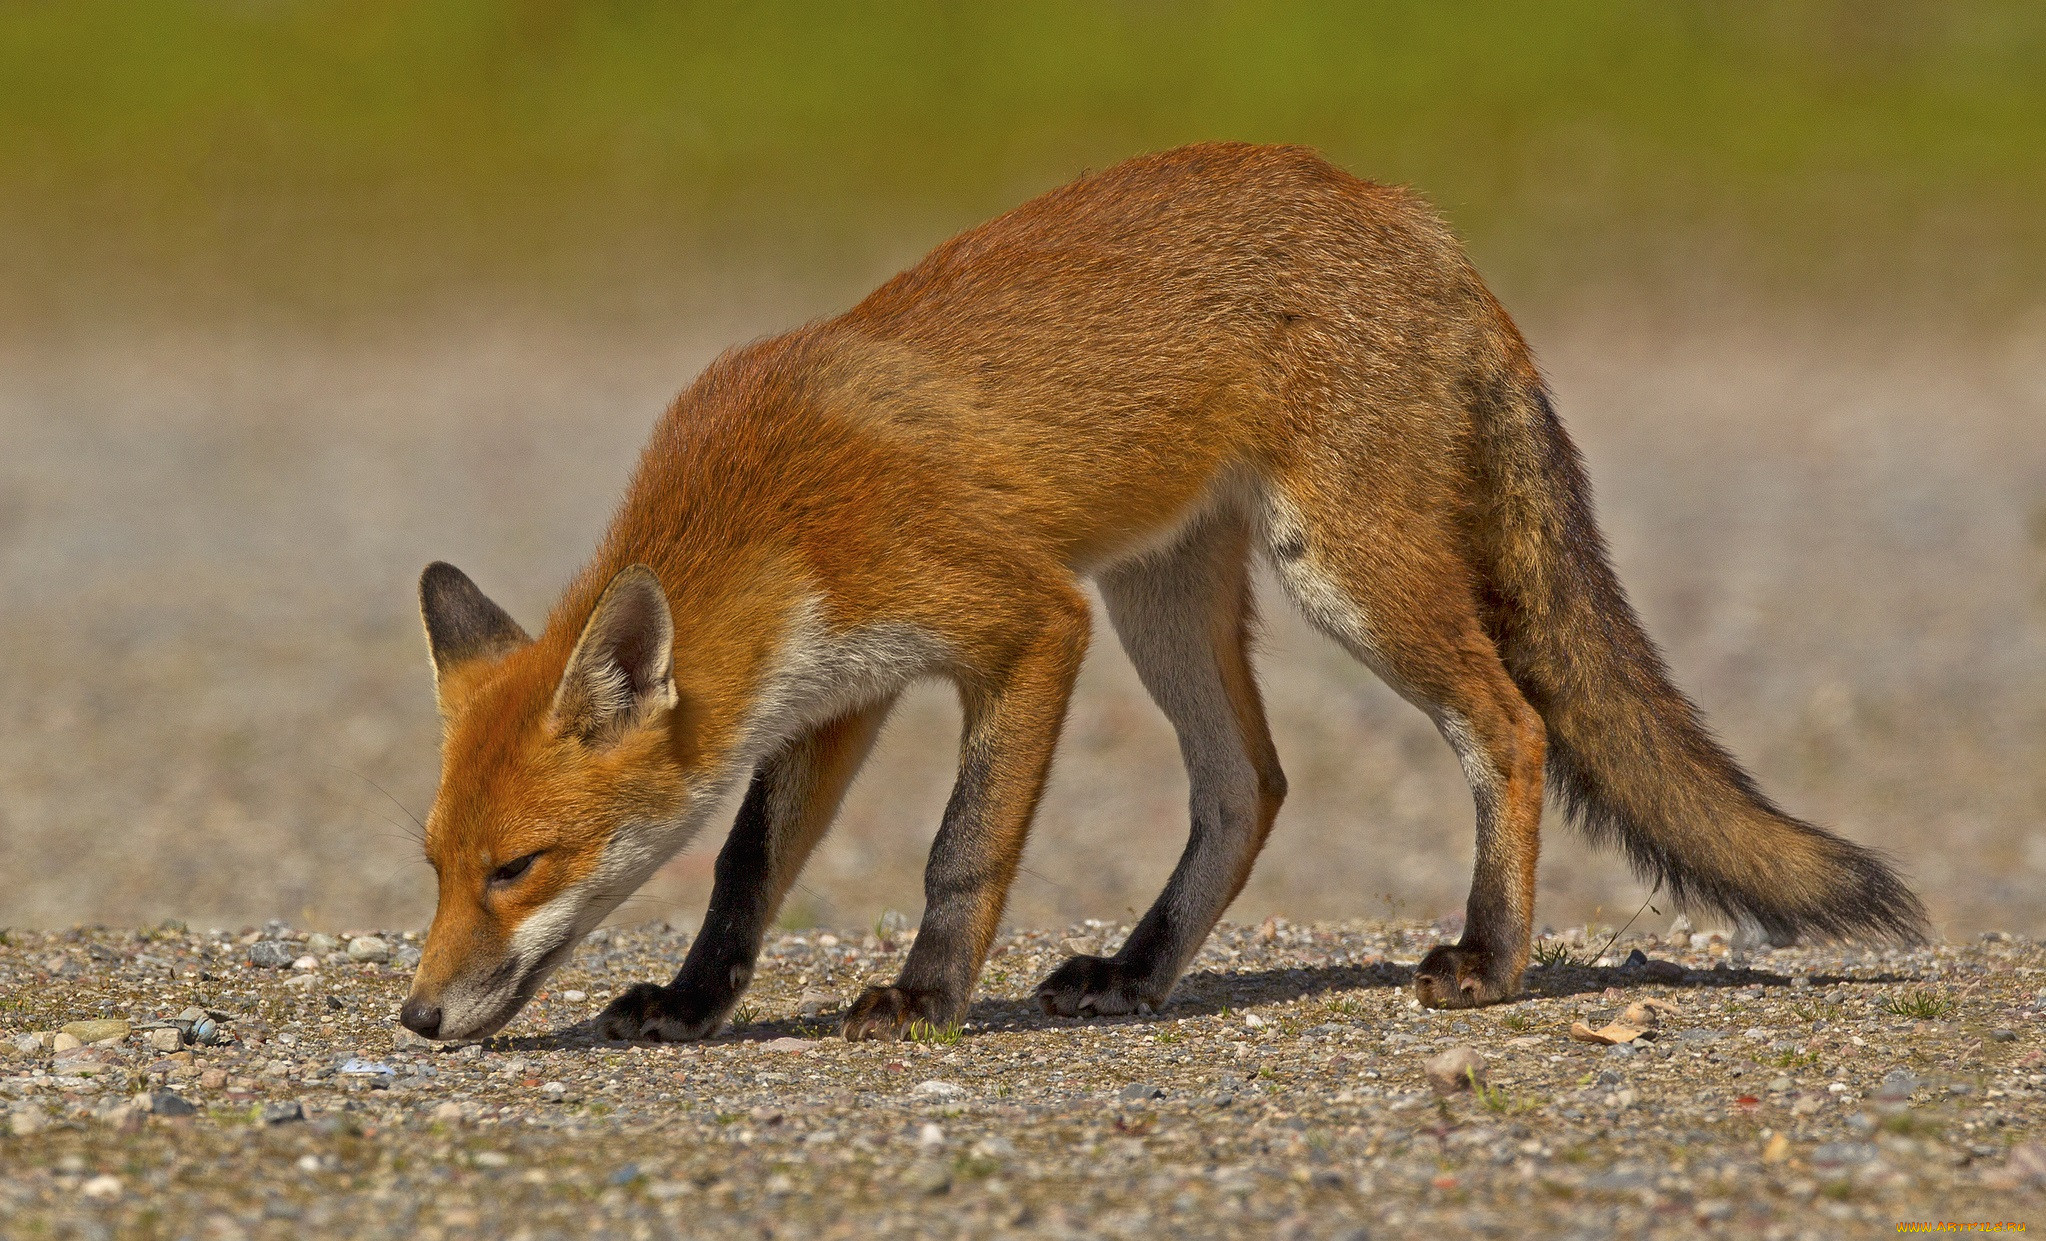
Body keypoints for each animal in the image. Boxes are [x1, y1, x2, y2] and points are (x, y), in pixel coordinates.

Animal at [394, 141, 1915, 1042]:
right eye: (434, 866)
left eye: (515, 867)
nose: (415, 1018)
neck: (772, 505)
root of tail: (1411, 216)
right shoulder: (839, 688)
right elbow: (746, 868)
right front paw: (694, 999)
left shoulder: (1024, 623)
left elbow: (960, 851)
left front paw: (925, 994)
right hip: (1164, 599)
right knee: (1249, 786)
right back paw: (1135, 972)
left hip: (1336, 576)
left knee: (1512, 725)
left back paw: (1489, 957)